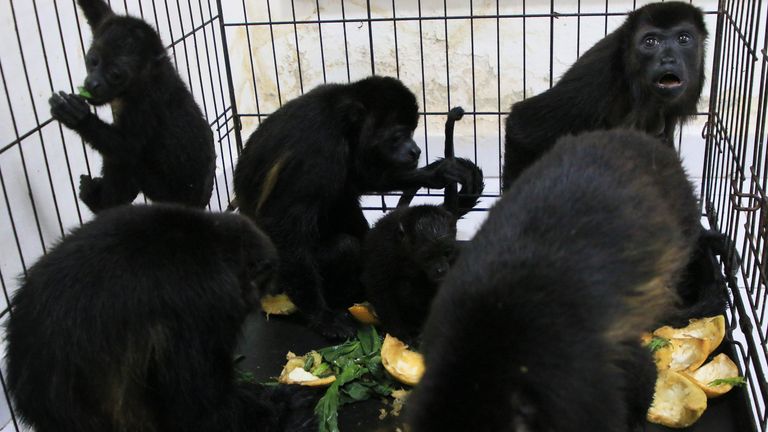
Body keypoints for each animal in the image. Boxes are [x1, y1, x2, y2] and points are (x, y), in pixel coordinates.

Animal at [47, 0, 216, 213]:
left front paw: (78, 118)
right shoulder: (107, 21)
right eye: (93, 61)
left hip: (161, 191)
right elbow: (95, 9)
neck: (144, 78)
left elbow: (127, 148)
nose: (93, 83)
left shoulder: (145, 103)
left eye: (115, 75)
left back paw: (100, 205)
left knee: (125, 161)